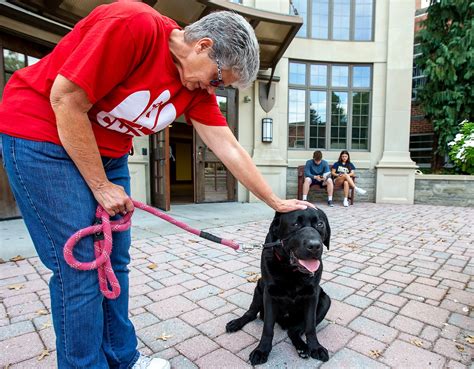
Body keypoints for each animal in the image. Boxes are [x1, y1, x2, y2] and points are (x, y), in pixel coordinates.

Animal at [225, 207, 330, 366]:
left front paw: (315, 347)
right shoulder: (269, 294)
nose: (314, 246)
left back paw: (302, 347)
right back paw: (236, 323)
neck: (291, 270)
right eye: (295, 224)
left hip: (325, 301)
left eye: (320, 224)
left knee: (293, 330)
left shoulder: (313, 295)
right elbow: (268, 328)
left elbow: (310, 327)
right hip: (259, 288)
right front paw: (262, 350)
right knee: (251, 313)